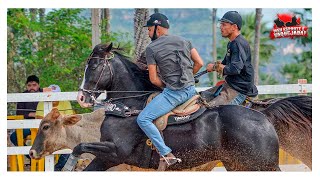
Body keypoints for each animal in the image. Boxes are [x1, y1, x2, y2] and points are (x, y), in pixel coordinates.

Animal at [70, 43, 280, 171]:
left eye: (94, 67)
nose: (81, 97)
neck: (127, 109)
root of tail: (263, 117)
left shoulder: (116, 151)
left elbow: (79, 146)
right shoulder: (107, 157)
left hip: (260, 164)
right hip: (237, 164)